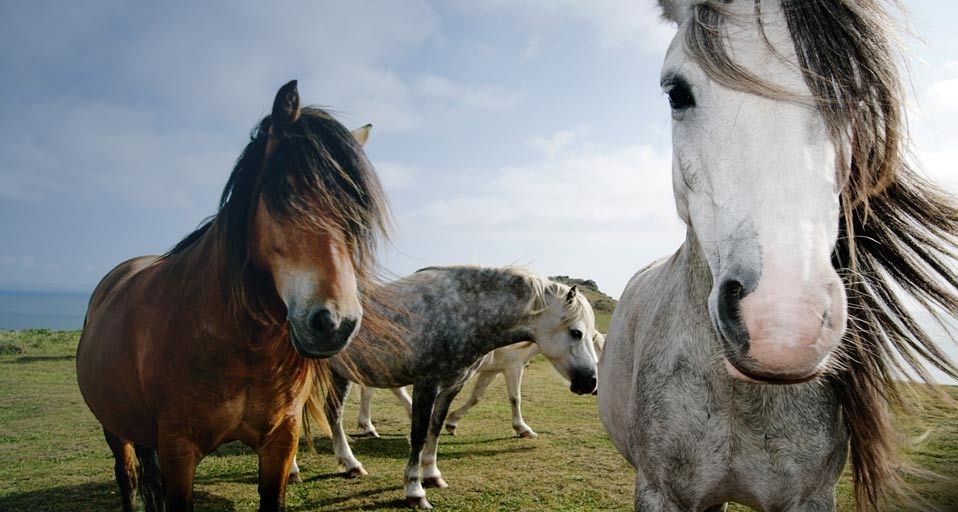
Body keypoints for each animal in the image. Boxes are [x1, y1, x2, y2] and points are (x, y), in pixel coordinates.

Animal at [75, 80, 392, 512]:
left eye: (357, 212)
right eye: (285, 189)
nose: (336, 323)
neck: (238, 345)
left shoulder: (280, 442)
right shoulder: (178, 450)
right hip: (114, 425)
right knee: (128, 478)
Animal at [350, 332, 605, 439]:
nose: (594, 385)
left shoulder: (491, 371)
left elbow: (476, 398)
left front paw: (452, 422)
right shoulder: (513, 368)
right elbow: (515, 399)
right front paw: (523, 429)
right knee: (371, 390)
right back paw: (369, 426)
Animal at [599, 1, 958, 511]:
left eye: (857, 97)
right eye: (676, 93)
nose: (783, 324)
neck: (739, 397)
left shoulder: (809, 496)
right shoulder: (660, 492)